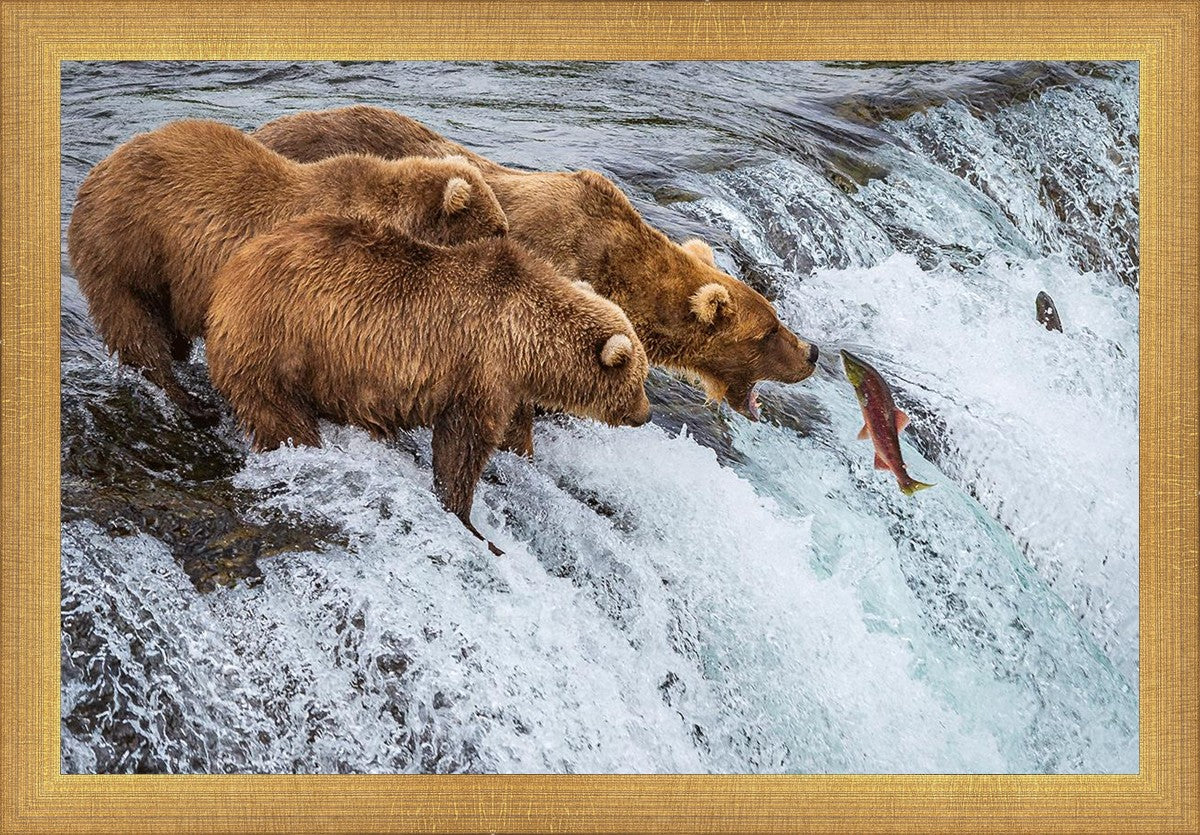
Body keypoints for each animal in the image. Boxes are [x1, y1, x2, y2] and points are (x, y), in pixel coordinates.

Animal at [67, 118, 509, 425]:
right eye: (497, 228)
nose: (510, 244)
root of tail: (98, 170)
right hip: (128, 246)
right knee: (135, 325)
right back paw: (190, 402)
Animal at [206, 211, 651, 555]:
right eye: (639, 379)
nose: (646, 414)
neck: (525, 339)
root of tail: (229, 274)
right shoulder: (479, 367)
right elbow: (462, 445)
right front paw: (471, 522)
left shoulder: (507, 384)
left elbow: (512, 431)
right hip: (278, 344)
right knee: (281, 416)